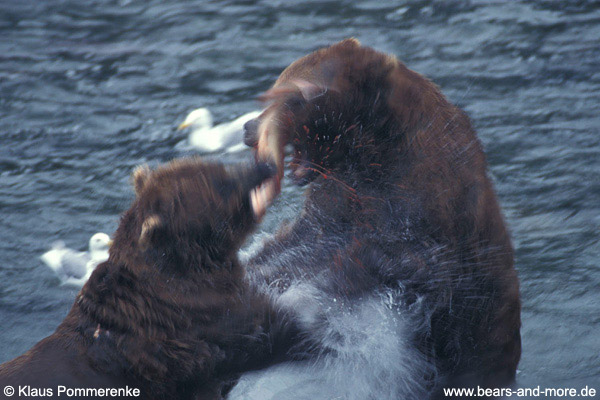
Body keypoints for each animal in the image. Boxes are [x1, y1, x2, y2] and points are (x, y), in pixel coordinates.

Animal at [239, 39, 520, 398]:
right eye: (277, 84)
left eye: (296, 94)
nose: (249, 128)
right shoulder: (336, 205)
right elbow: (290, 248)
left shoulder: (416, 222)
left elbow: (363, 271)